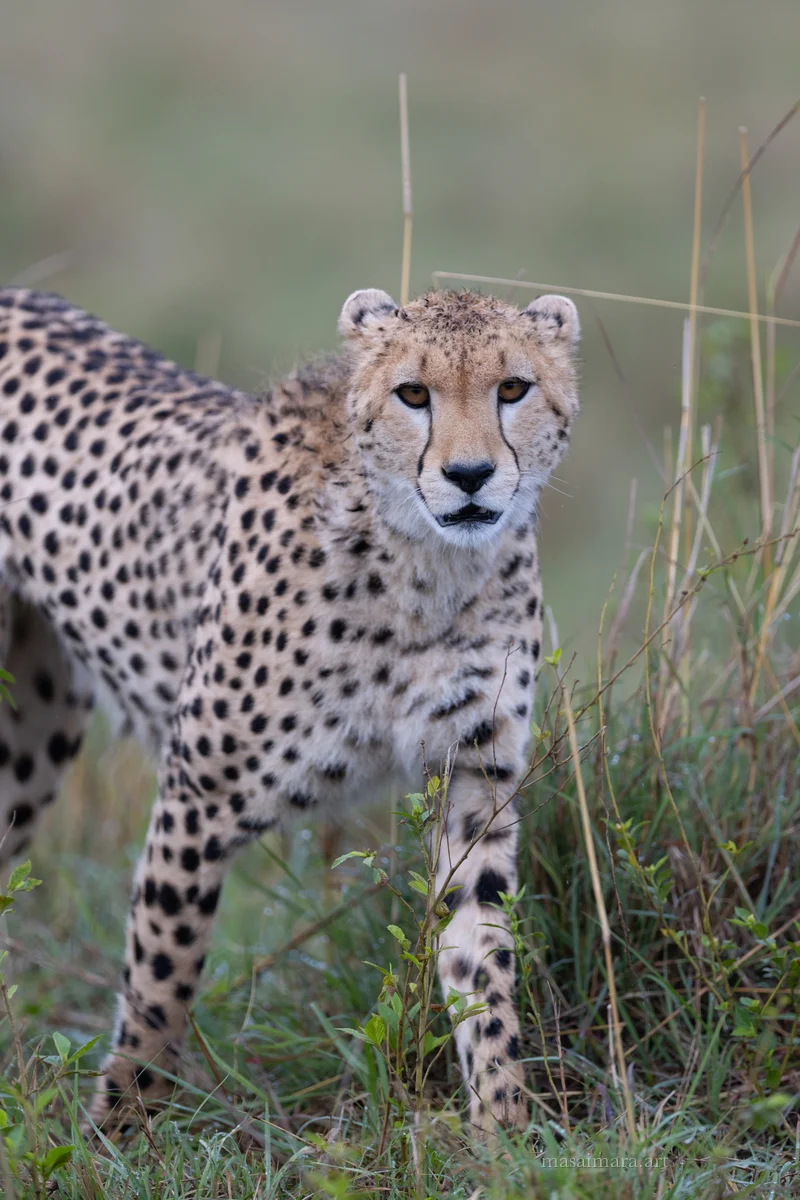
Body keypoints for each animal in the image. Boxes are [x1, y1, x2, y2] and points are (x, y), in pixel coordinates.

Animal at [0, 283, 580, 1134]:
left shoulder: (472, 779)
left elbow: (483, 963)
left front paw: (503, 1128)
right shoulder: (199, 791)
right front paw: (121, 1132)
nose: (471, 475)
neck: (419, 568)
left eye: (513, 388)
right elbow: (161, 977)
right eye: (413, 394)